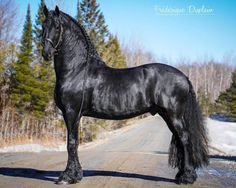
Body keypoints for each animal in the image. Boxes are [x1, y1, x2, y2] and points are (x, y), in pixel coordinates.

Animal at [41, 5, 207, 185]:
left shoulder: (71, 113)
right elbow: (74, 142)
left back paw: (187, 177)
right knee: (179, 139)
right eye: (43, 25)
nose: (46, 53)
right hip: (167, 115)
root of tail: (184, 77)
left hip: (174, 115)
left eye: (57, 27)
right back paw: (181, 175)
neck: (77, 69)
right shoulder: (73, 115)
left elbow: (71, 143)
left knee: (184, 139)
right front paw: (76, 174)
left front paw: (68, 176)